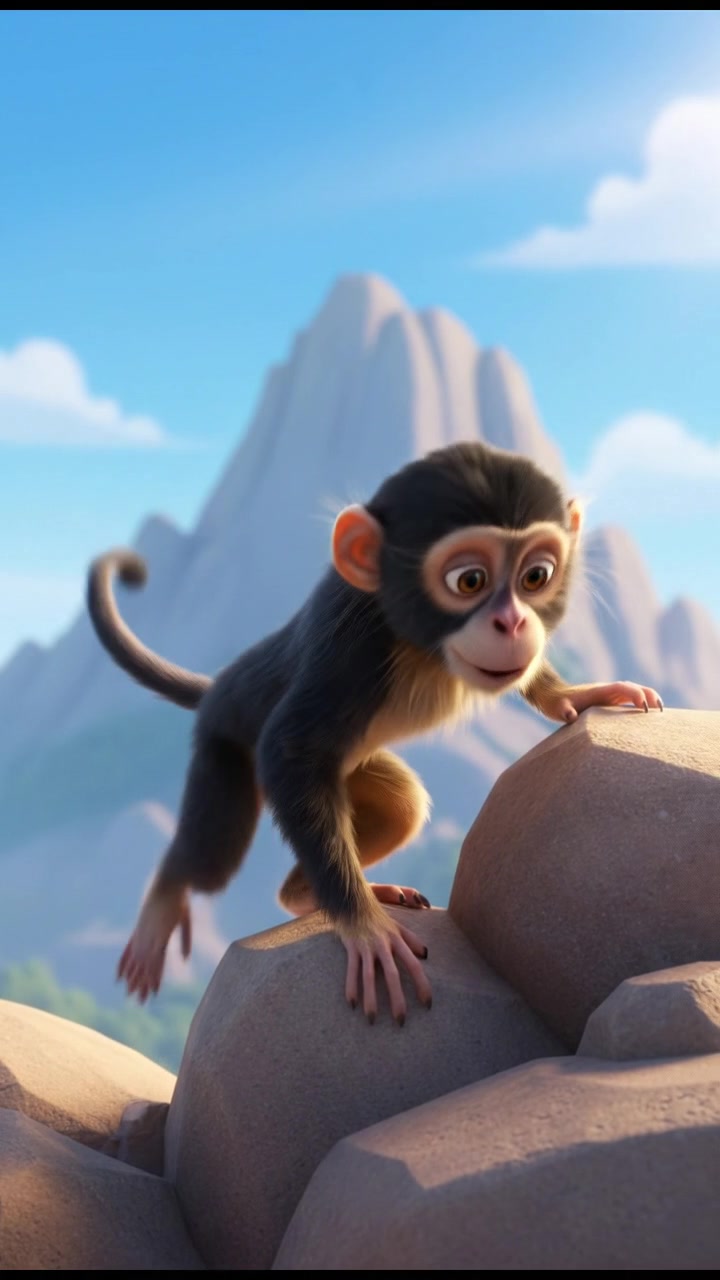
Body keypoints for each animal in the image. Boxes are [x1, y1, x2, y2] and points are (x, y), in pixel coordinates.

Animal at [87, 441, 663, 1025]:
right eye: (469, 581)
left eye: (536, 576)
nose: (514, 623)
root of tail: (224, 685)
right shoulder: (355, 646)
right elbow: (288, 749)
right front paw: (365, 929)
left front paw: (576, 695)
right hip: (223, 743)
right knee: (212, 857)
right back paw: (169, 900)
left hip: (354, 766)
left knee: (401, 806)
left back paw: (307, 894)